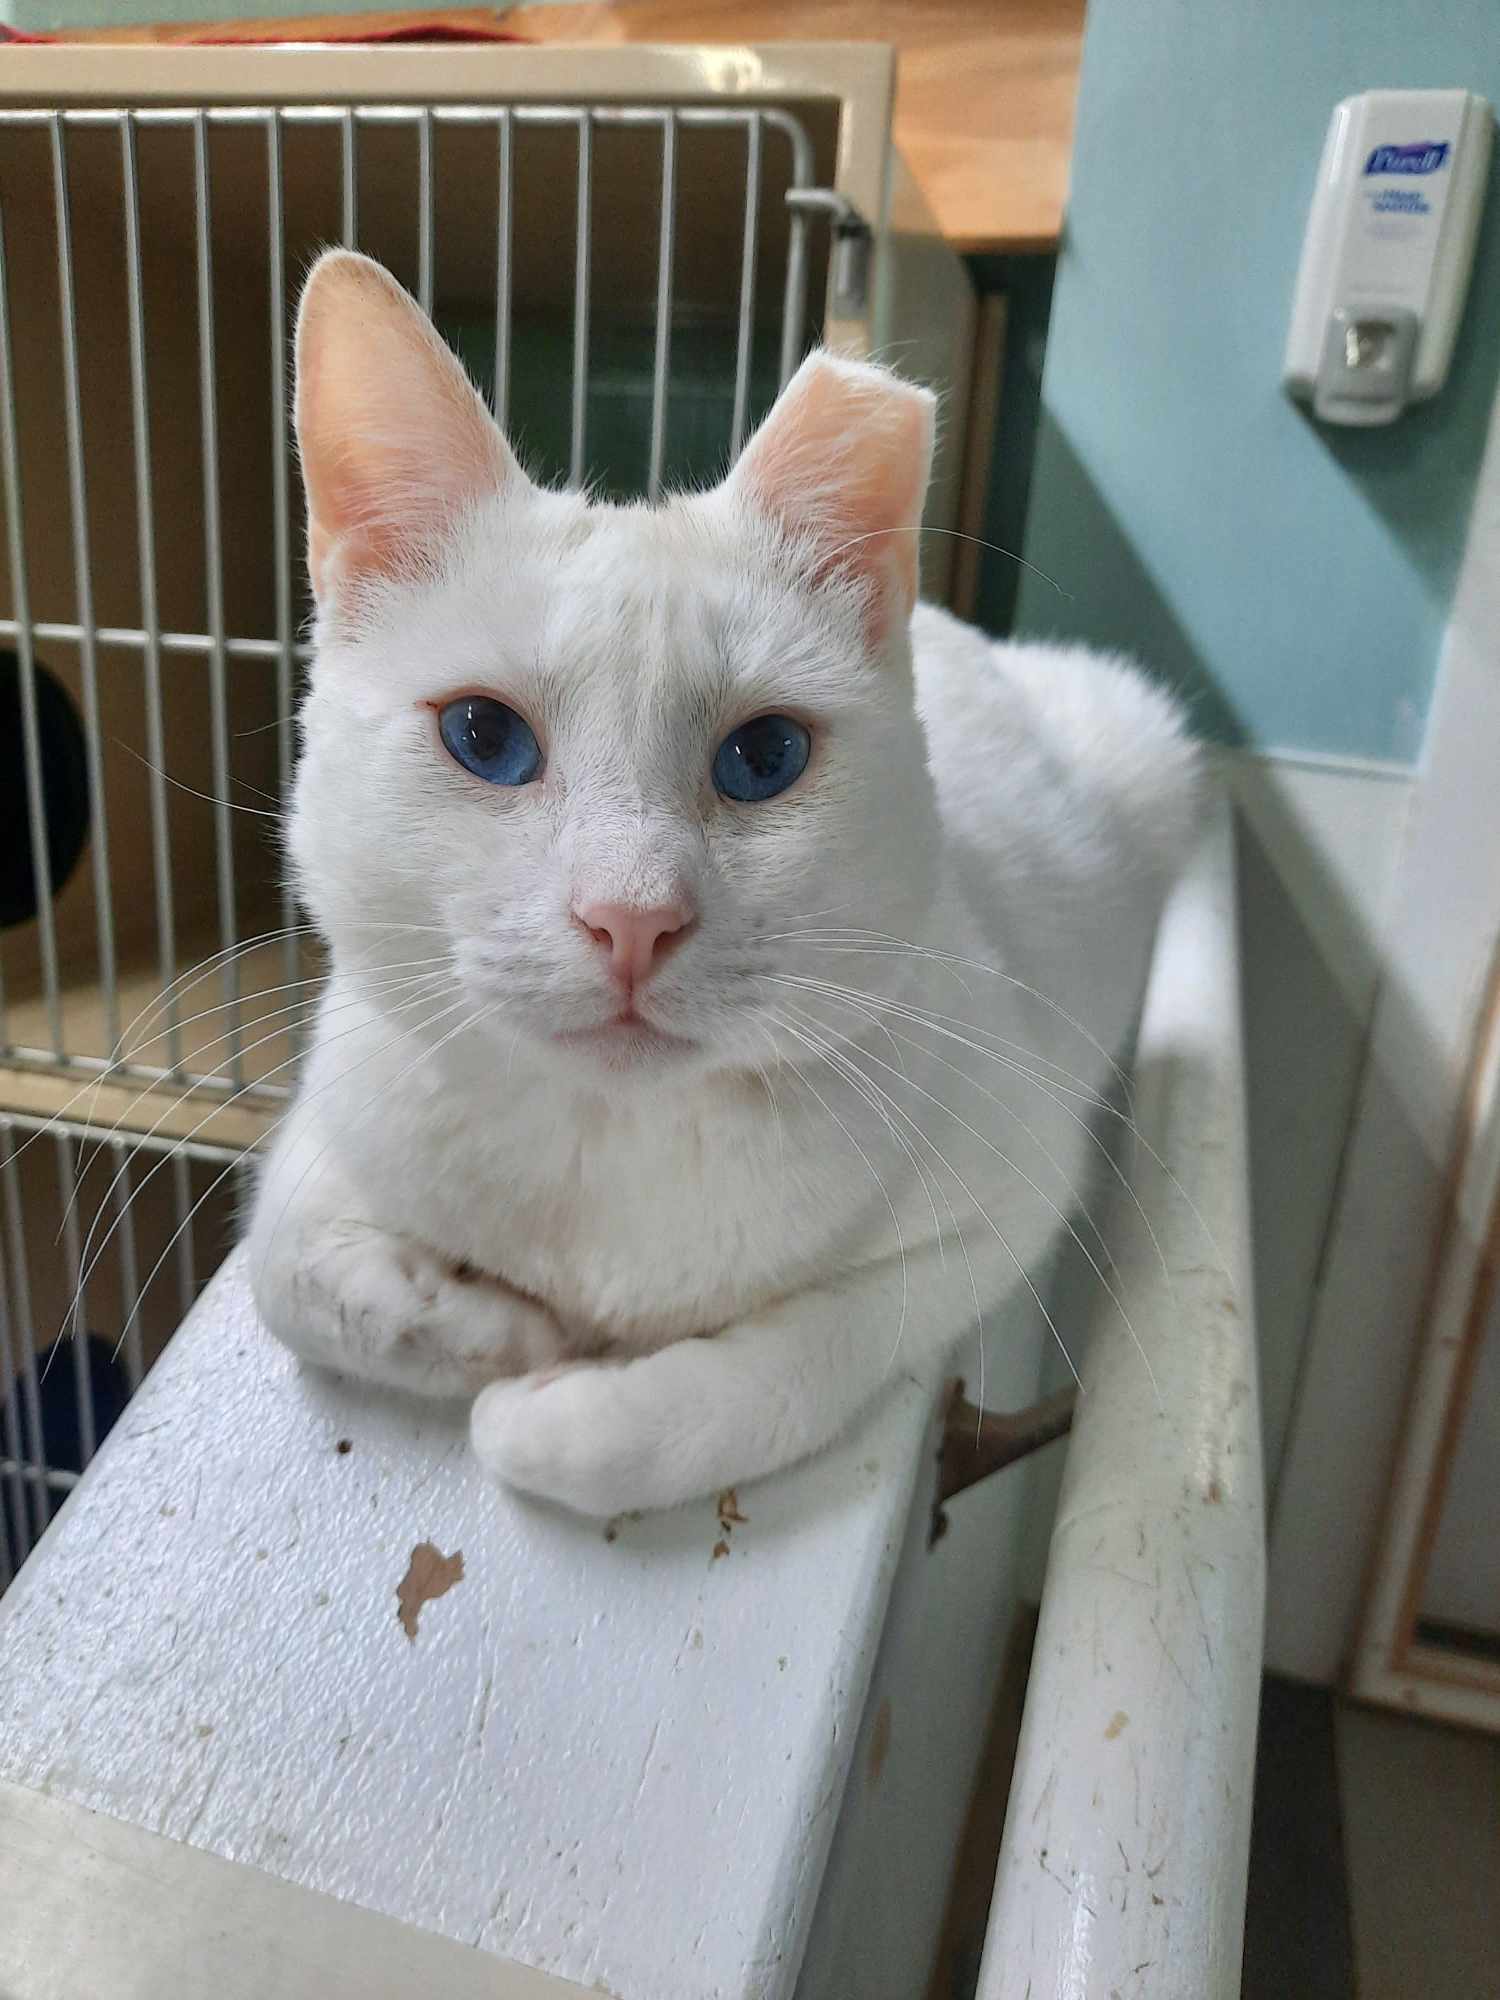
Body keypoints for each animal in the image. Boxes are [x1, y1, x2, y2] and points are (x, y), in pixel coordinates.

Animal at [250, 258, 1208, 1520]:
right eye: (483, 736)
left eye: (764, 756)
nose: (632, 916)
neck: (605, 1151)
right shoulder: (338, 1107)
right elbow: (281, 1273)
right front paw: (481, 1324)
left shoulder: (1005, 1200)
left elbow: (783, 1370)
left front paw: (551, 1407)